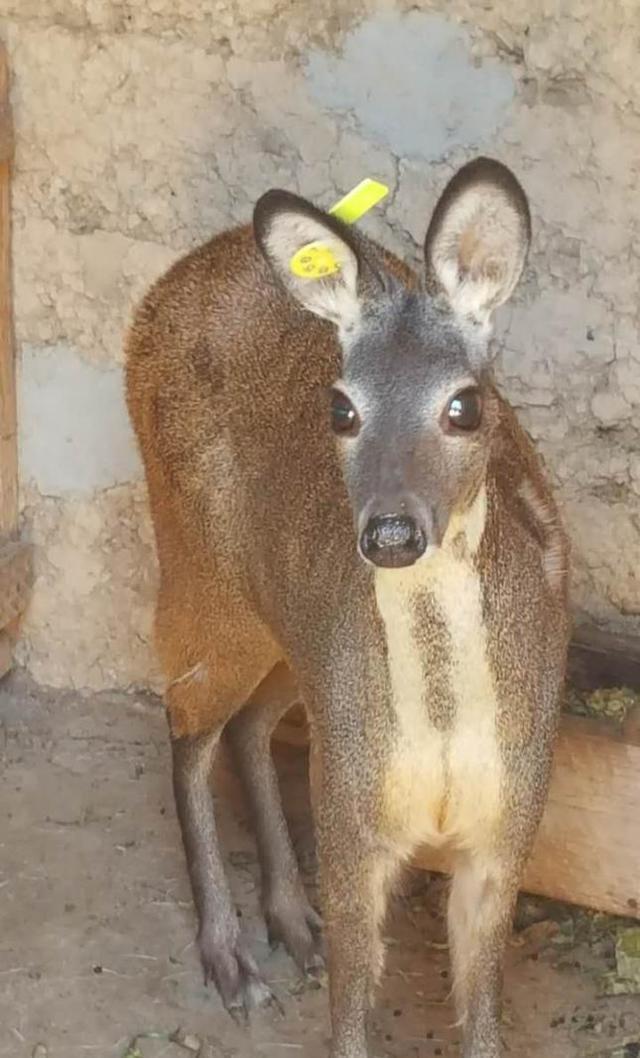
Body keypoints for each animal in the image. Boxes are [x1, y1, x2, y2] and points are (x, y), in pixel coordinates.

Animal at [125, 158, 567, 1058]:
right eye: (342, 407)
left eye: (465, 405)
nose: (391, 532)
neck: (442, 742)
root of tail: (173, 280)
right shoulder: (351, 815)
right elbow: (353, 1016)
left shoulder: (513, 814)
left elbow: (483, 1016)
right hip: (202, 577)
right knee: (186, 721)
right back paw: (230, 955)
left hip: (291, 637)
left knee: (248, 726)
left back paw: (294, 922)